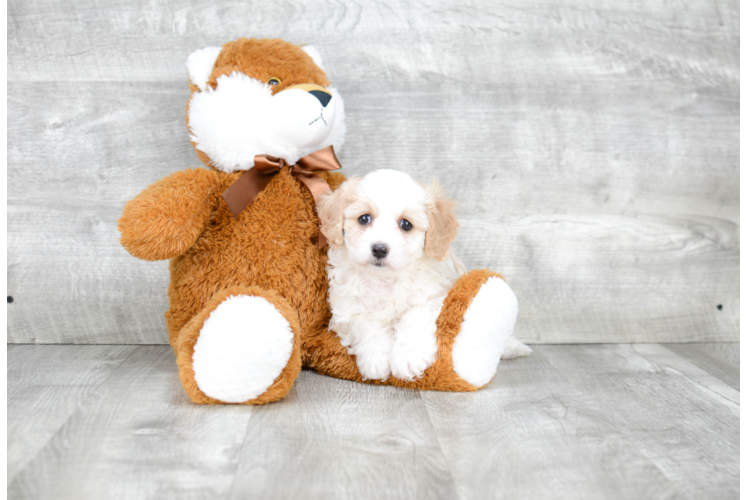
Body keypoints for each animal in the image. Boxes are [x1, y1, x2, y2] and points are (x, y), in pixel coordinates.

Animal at [318, 169, 528, 382]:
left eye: (406, 224)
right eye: (364, 219)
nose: (379, 249)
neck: (387, 279)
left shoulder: (433, 296)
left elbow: (413, 317)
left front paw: (409, 358)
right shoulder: (346, 309)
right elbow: (365, 325)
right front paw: (375, 361)